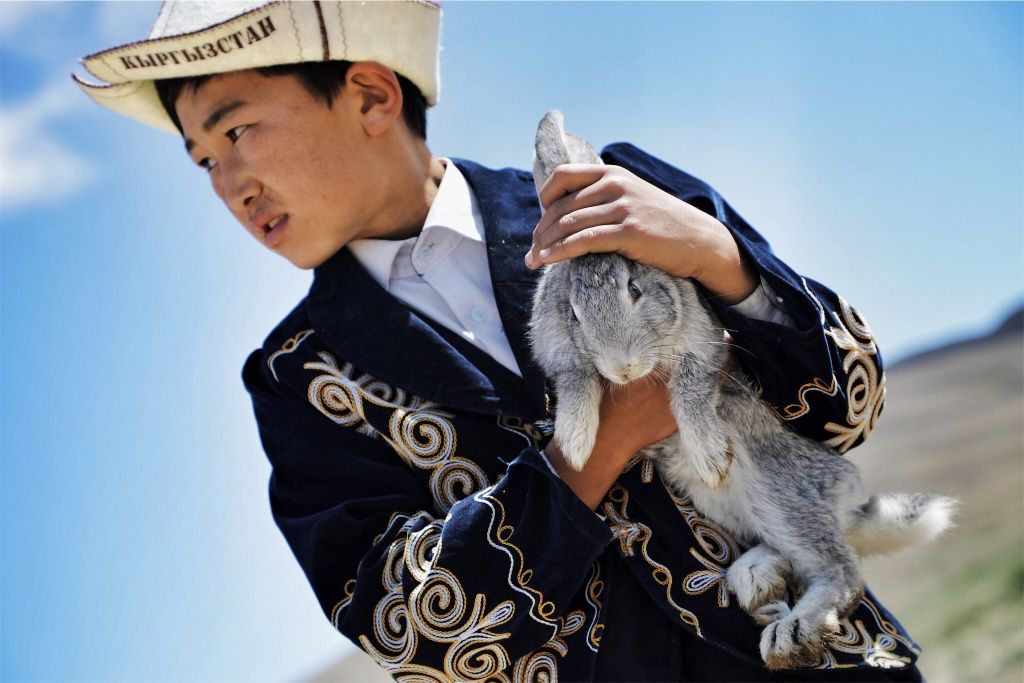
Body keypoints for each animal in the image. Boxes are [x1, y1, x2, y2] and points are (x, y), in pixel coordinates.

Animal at [528, 110, 956, 670]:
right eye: (573, 312)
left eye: (634, 288)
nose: (623, 368)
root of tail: (846, 496)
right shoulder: (561, 355)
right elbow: (576, 382)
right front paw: (576, 445)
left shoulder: (707, 348)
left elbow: (691, 390)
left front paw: (709, 455)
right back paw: (755, 577)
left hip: (779, 484)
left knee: (841, 571)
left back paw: (791, 633)